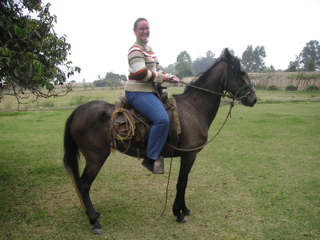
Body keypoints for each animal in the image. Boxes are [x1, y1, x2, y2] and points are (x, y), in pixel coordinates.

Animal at [62, 48, 258, 234]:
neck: (193, 108)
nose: (253, 99)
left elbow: (184, 182)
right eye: (242, 72)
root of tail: (77, 111)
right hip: (96, 158)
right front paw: (178, 213)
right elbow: (181, 183)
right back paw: (94, 221)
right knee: (84, 186)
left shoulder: (187, 156)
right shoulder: (189, 155)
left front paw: (184, 209)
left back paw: (94, 214)